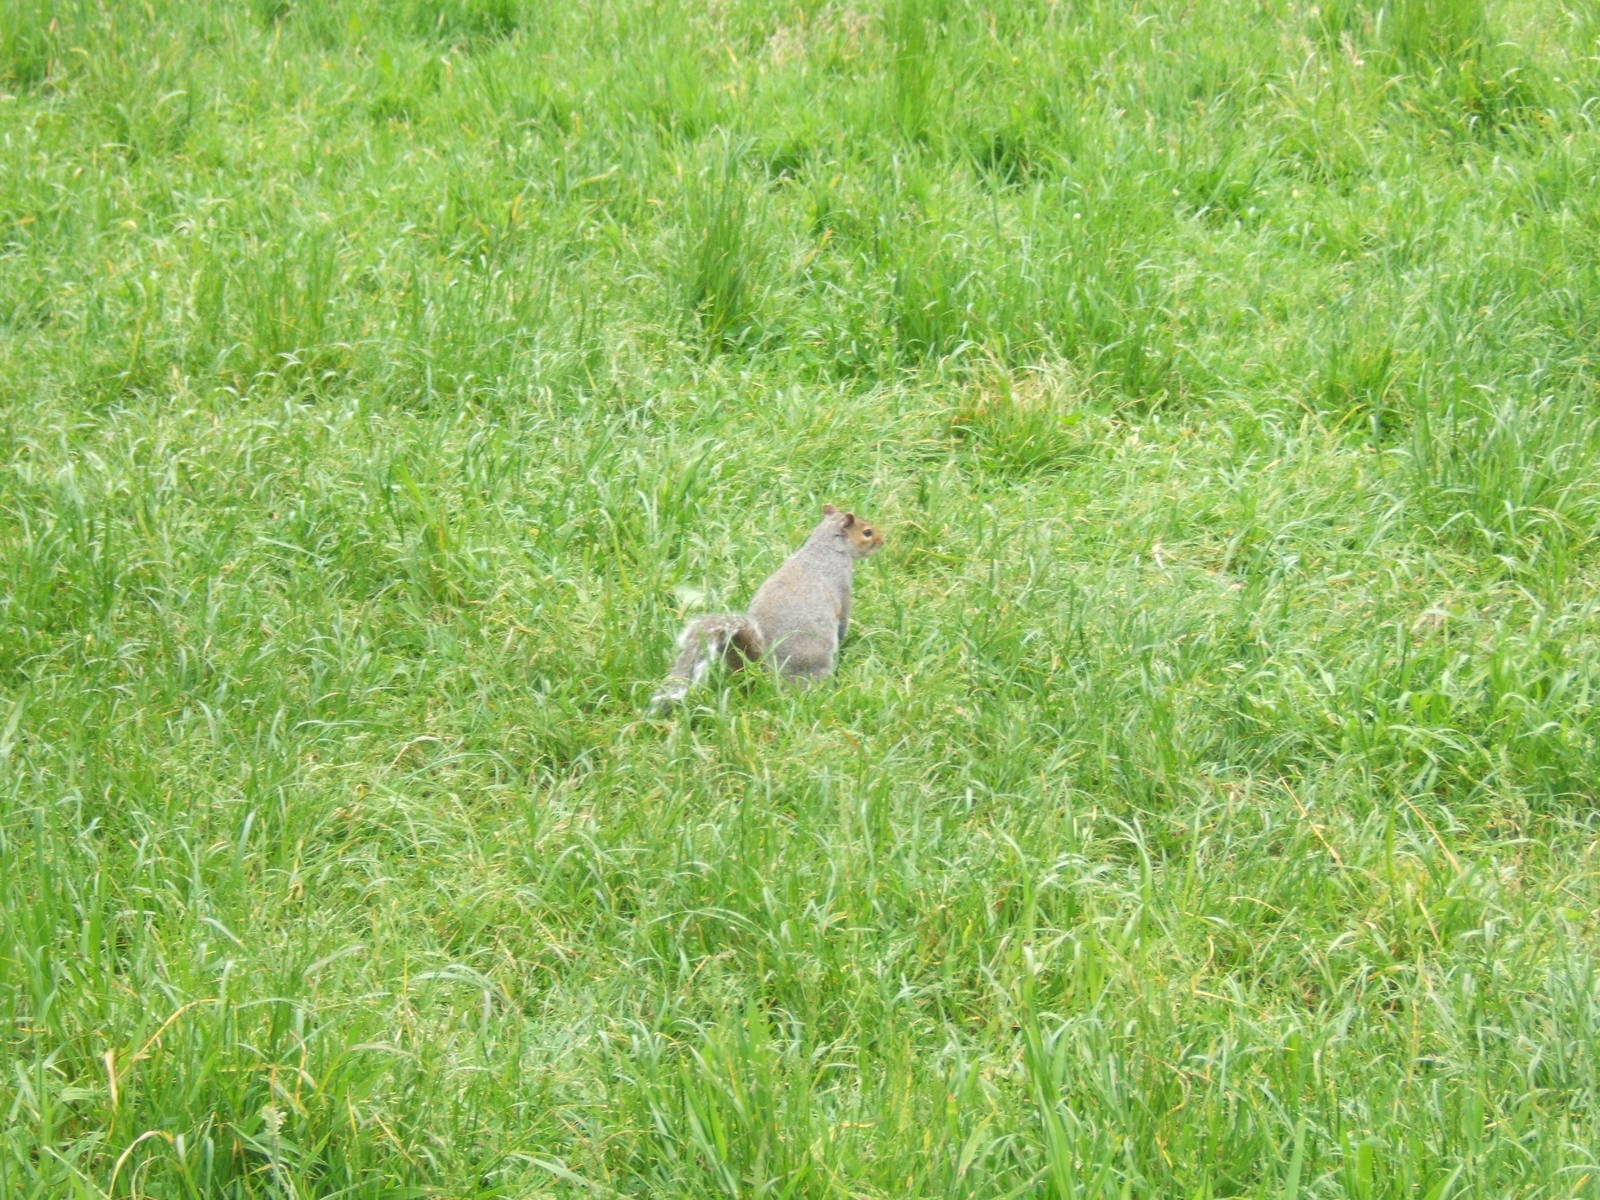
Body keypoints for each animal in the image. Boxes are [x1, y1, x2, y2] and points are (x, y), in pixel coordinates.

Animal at [647, 503, 885, 714]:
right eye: (867, 532)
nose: (883, 540)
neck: (824, 549)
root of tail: (763, 669)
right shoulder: (842, 586)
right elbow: (843, 620)